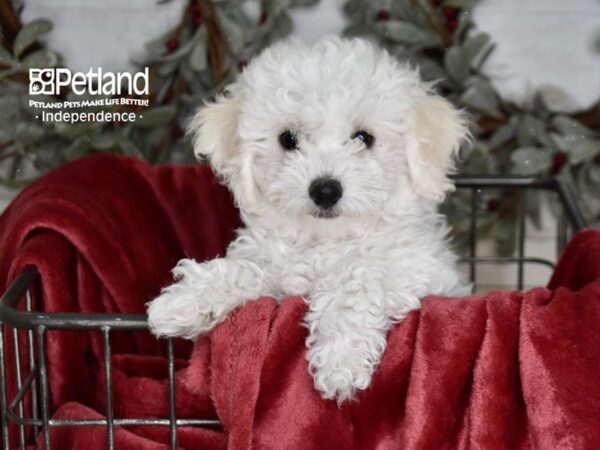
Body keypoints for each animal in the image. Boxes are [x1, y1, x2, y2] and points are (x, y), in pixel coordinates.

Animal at [148, 37, 472, 402]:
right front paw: (185, 300)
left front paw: (340, 360)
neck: (325, 241)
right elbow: (248, 269)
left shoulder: (423, 273)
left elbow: (358, 273)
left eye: (363, 138)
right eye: (288, 139)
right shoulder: (276, 273)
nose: (325, 190)